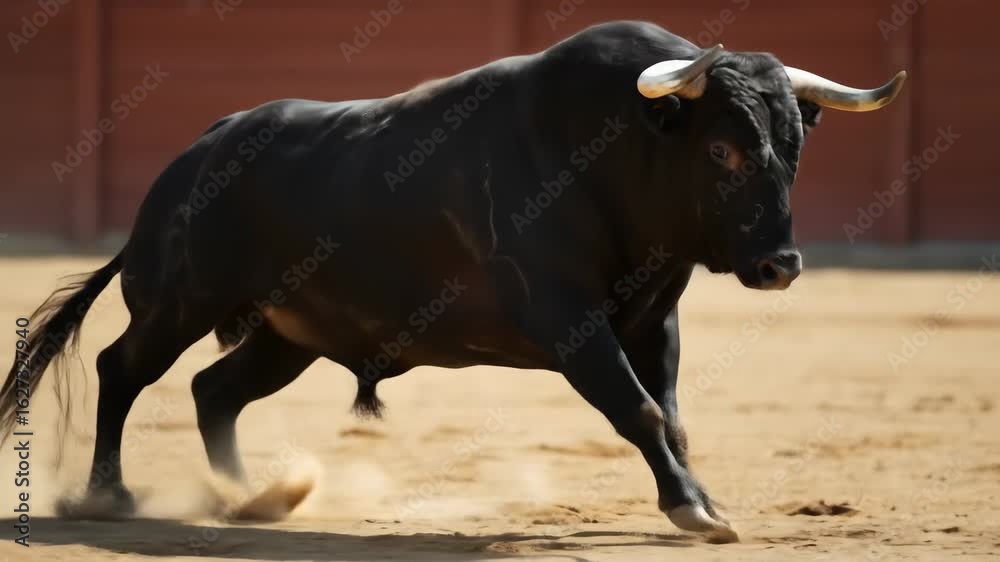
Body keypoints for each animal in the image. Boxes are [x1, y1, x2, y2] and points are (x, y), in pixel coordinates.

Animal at [0, 20, 905, 542]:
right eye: (720, 149)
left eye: (794, 145)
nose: (780, 266)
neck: (613, 149)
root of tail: (197, 152)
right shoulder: (570, 321)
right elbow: (639, 409)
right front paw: (694, 510)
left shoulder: (654, 321)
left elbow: (671, 417)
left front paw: (698, 500)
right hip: (178, 301)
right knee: (124, 369)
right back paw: (109, 498)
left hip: (291, 332)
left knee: (213, 389)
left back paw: (251, 497)